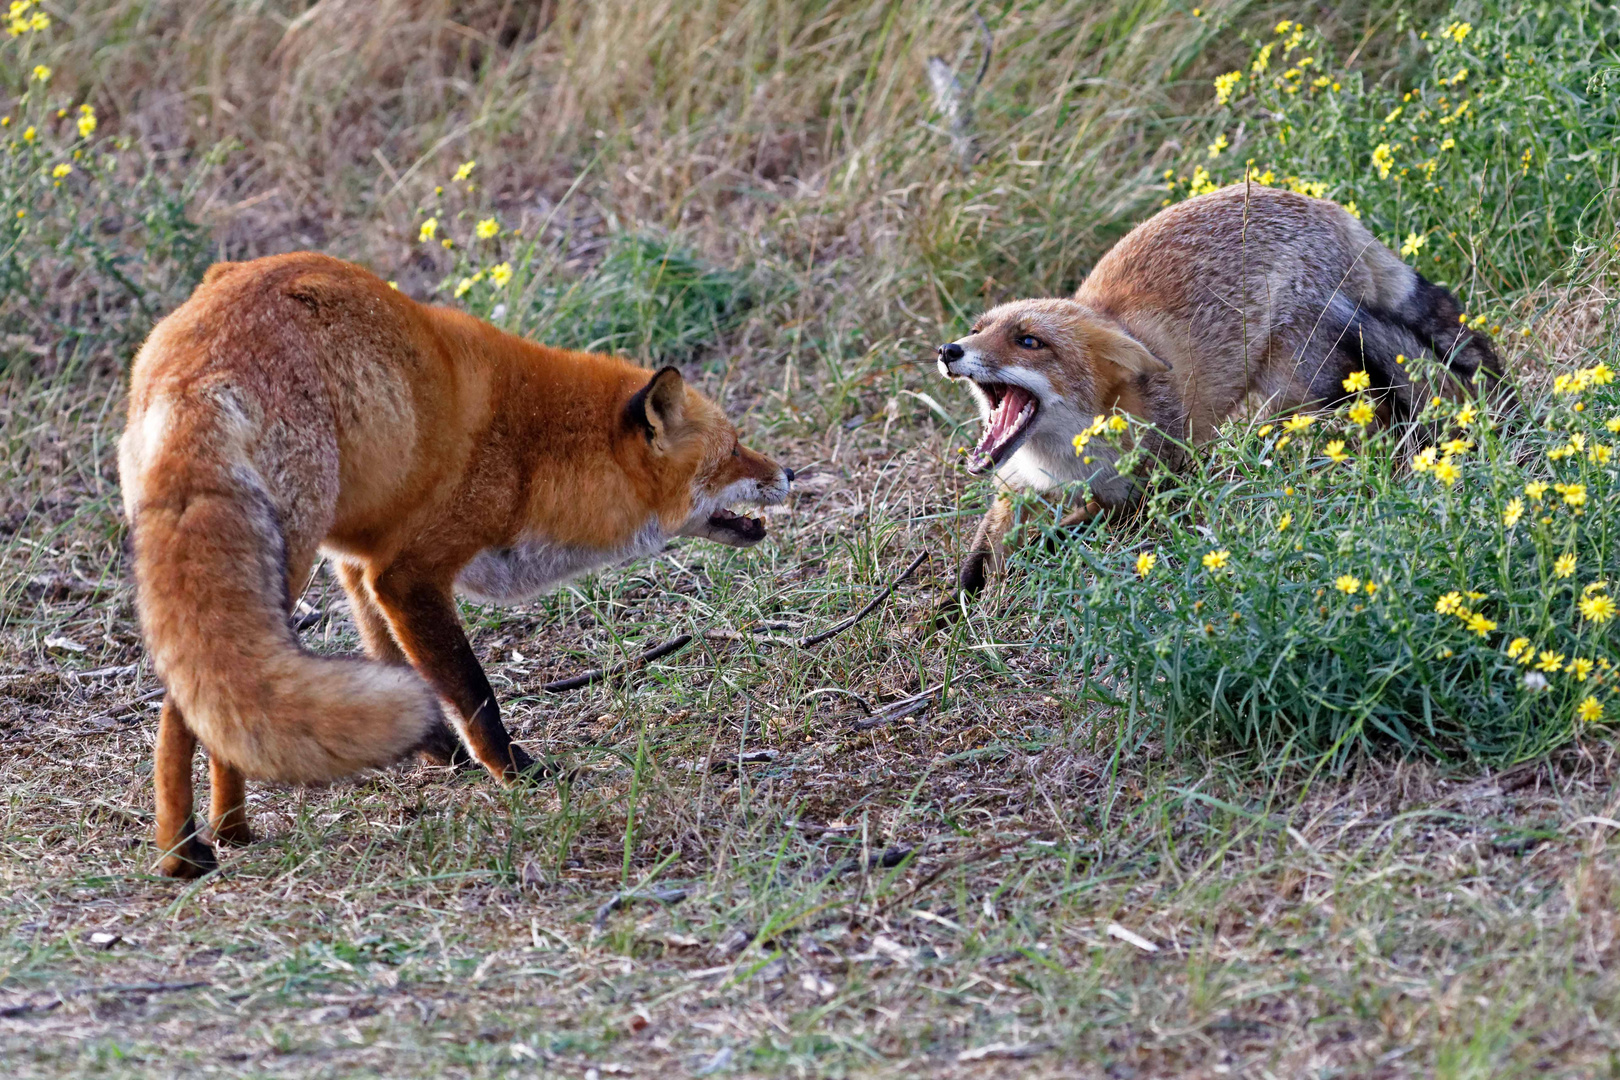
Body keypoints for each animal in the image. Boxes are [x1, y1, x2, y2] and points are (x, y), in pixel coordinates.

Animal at [119, 254, 790, 880]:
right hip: (281, 559)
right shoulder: (408, 573)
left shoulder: (362, 559)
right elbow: (473, 691)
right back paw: (183, 851)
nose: (790, 472)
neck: (533, 451)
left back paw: (230, 828)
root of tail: (195, 367)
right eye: (734, 450)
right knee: (183, 708)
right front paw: (515, 773)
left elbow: (390, 659)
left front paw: (439, 753)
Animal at [939, 187, 1503, 608]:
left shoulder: (1145, 493)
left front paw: (1017, 566)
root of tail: (1331, 210)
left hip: (1299, 385)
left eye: (1028, 341)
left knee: (1379, 404)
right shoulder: (1015, 486)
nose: (949, 350)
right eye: (979, 329)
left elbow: (1066, 530)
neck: (1064, 462)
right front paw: (955, 599)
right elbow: (981, 548)